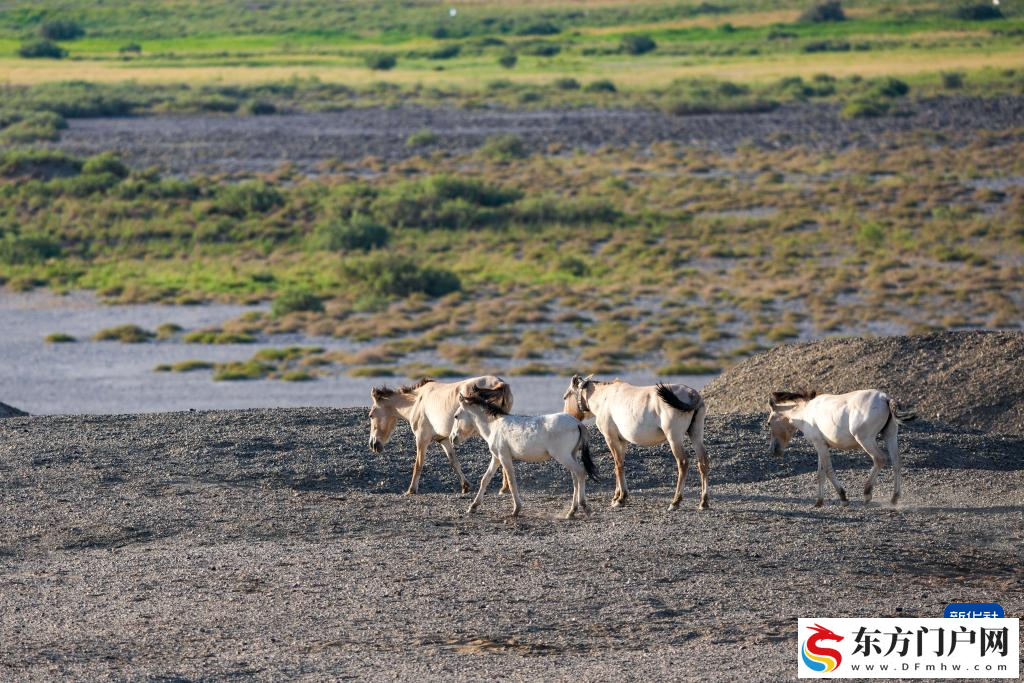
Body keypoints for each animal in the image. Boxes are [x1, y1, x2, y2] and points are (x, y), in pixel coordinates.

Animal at [368, 376, 513, 495]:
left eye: (371, 415)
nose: (373, 444)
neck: (417, 401)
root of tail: (500, 383)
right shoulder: (443, 440)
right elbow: (454, 462)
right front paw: (465, 486)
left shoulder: (421, 439)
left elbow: (418, 464)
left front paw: (411, 490)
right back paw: (505, 488)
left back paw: (505, 488)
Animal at [450, 393, 599, 519]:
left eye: (456, 416)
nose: (452, 439)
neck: (494, 426)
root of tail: (577, 423)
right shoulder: (496, 458)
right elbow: (485, 479)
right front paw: (473, 506)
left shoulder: (504, 458)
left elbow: (511, 481)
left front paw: (516, 510)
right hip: (571, 455)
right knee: (575, 478)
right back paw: (571, 511)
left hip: (563, 456)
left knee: (580, 472)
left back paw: (584, 507)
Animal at [563, 374, 710, 510]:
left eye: (565, 397)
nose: (567, 416)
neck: (604, 397)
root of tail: (692, 394)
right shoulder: (622, 441)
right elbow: (619, 464)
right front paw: (617, 496)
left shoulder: (610, 438)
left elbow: (618, 465)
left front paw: (621, 498)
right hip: (696, 434)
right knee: (703, 462)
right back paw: (703, 502)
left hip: (674, 438)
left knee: (683, 463)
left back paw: (675, 502)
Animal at [767, 389, 915, 507]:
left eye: (768, 423)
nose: (774, 451)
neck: (806, 412)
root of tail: (885, 398)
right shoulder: (821, 446)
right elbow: (821, 473)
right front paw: (819, 501)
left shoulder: (820, 445)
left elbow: (828, 471)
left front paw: (843, 497)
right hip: (890, 436)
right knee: (896, 462)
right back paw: (894, 498)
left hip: (866, 440)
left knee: (880, 459)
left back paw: (867, 493)